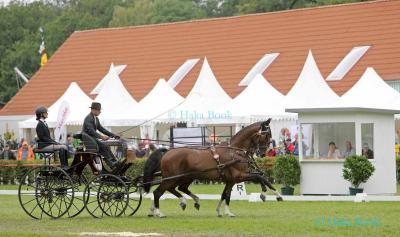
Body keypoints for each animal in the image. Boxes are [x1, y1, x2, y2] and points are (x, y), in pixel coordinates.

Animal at [142, 119, 282, 218]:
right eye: (267, 135)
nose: (263, 153)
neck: (235, 151)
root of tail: (167, 151)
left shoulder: (231, 180)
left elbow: (225, 195)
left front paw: (220, 211)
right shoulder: (238, 176)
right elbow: (259, 177)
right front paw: (266, 194)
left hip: (183, 177)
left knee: (177, 189)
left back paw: (186, 202)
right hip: (172, 178)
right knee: (158, 192)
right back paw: (159, 212)